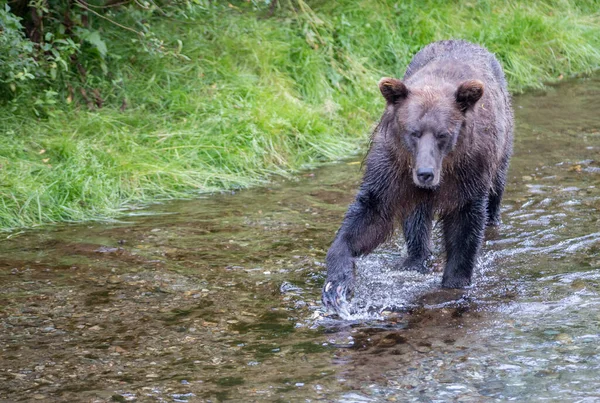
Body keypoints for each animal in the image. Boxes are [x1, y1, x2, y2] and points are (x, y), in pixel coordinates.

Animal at [324, 39, 516, 314]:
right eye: (413, 132)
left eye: (443, 134)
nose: (426, 173)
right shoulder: (393, 167)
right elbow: (371, 214)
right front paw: (337, 281)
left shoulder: (470, 171)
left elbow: (465, 225)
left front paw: (454, 282)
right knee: (415, 218)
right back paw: (415, 259)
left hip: (502, 147)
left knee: (494, 196)